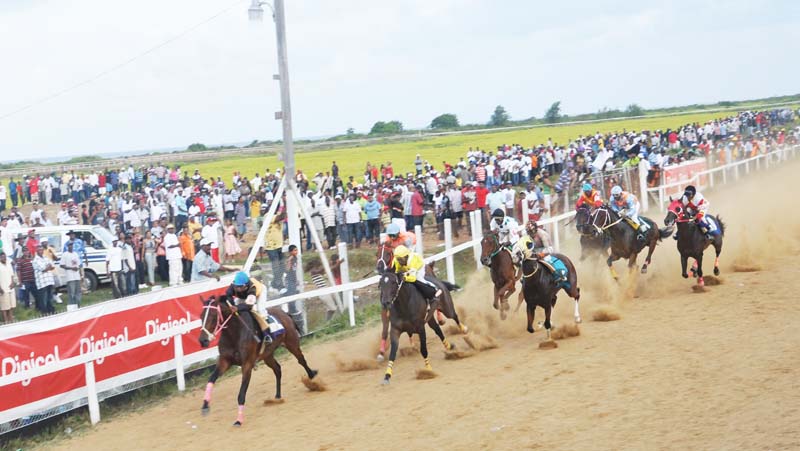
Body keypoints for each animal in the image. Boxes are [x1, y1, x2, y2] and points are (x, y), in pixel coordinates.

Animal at [198, 296, 318, 428]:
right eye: (201, 316)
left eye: (213, 315)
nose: (203, 340)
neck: (234, 333)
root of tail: (284, 313)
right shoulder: (224, 361)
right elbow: (211, 380)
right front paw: (205, 405)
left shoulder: (247, 365)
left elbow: (241, 394)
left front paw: (239, 420)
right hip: (267, 355)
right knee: (277, 369)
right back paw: (277, 396)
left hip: (292, 343)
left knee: (301, 360)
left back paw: (312, 377)